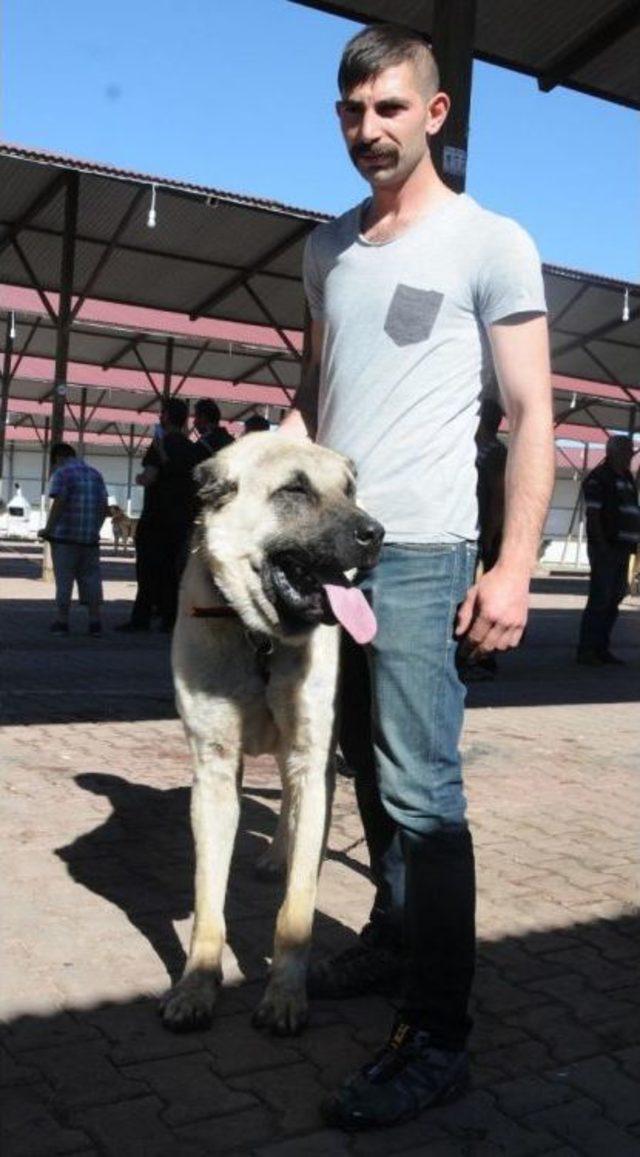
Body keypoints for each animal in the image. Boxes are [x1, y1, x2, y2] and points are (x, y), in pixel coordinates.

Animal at [159, 435, 381, 1041]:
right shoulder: (213, 772)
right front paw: (197, 986)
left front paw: (284, 995)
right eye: (294, 491)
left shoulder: (310, 755)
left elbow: (296, 909)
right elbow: (208, 898)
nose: (375, 533)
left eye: (349, 490)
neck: (259, 638)